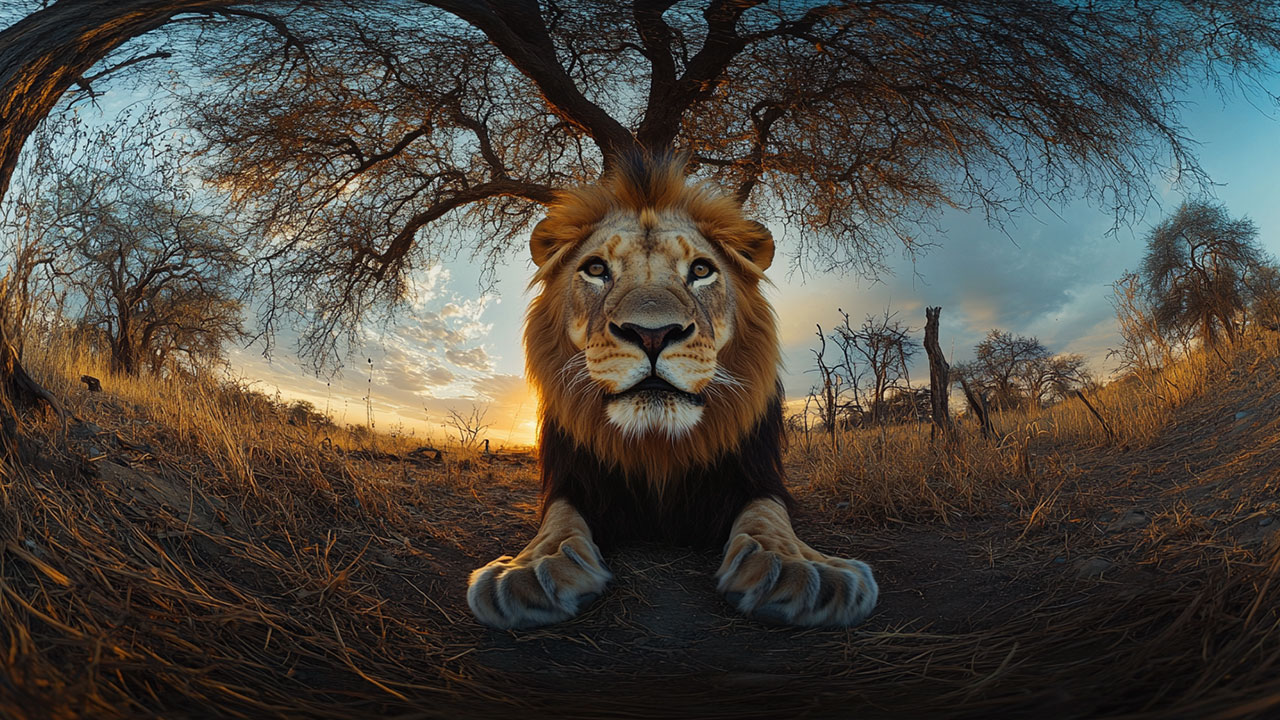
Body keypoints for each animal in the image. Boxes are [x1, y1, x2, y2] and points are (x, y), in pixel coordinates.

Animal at [467, 153, 878, 629]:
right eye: (596, 269)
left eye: (700, 270)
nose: (652, 334)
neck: (657, 446)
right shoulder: (571, 482)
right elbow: (559, 521)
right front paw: (529, 569)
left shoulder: (758, 478)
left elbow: (768, 516)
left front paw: (799, 567)